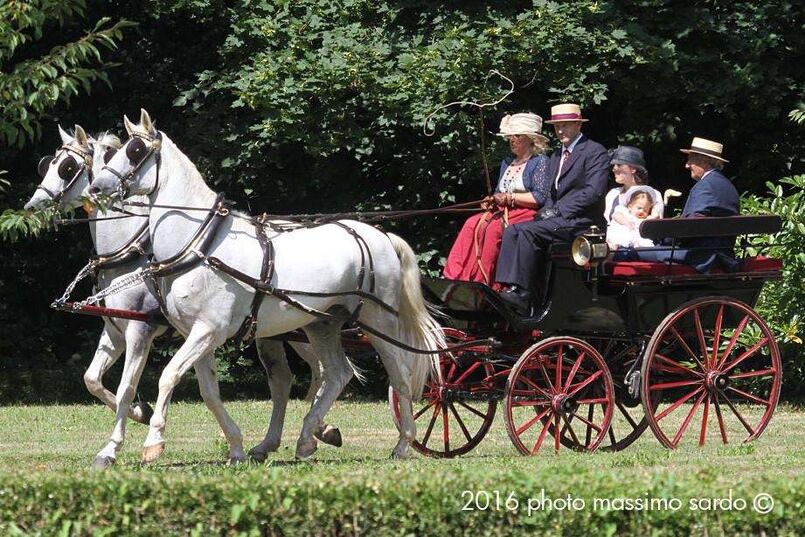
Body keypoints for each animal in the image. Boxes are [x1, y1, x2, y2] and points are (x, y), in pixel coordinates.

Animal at [23, 123, 344, 462]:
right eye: (47, 164)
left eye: (67, 167)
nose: (31, 206)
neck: (130, 252)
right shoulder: (115, 329)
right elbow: (92, 379)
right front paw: (141, 413)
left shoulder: (140, 330)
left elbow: (126, 386)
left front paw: (117, 444)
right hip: (277, 332)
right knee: (291, 378)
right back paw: (292, 437)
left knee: (323, 372)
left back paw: (319, 430)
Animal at [90, 110, 442, 460]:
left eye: (134, 150)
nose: (96, 187)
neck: (200, 246)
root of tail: (380, 235)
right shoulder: (197, 333)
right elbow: (208, 392)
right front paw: (236, 447)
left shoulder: (208, 330)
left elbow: (167, 376)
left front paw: (153, 442)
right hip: (322, 325)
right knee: (337, 374)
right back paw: (306, 438)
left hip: (378, 321)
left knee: (399, 375)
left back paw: (403, 444)